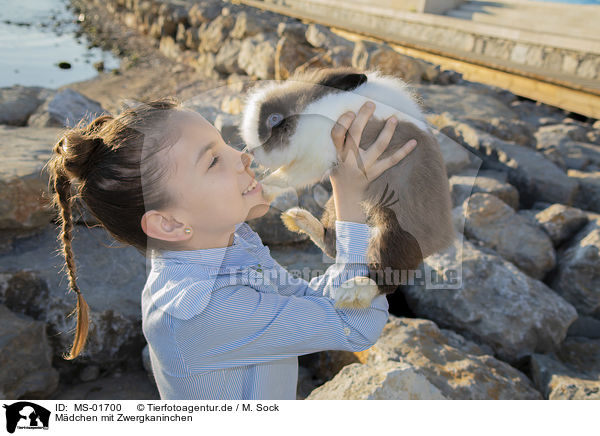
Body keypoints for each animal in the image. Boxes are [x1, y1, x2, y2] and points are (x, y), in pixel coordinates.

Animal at [239, 66, 454, 308]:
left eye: (274, 119)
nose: (251, 152)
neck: (311, 113)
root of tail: (442, 239)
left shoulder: (315, 158)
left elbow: (284, 177)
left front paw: (258, 189)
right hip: (335, 206)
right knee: (333, 244)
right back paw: (297, 219)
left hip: (394, 229)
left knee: (389, 274)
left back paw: (354, 291)